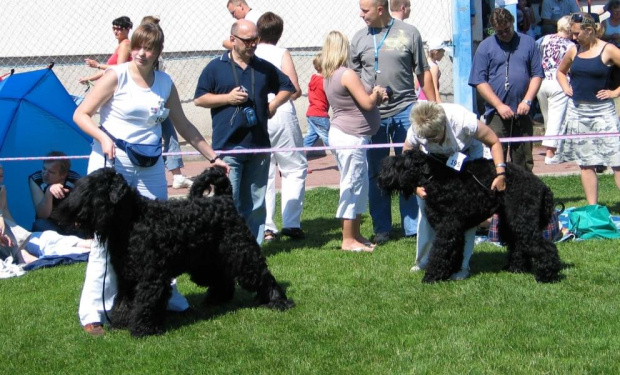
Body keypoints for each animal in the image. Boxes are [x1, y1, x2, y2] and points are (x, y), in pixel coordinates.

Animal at [60, 167, 296, 338]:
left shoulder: (151, 277)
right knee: (222, 278)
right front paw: (120, 322)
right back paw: (217, 299)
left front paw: (143, 329)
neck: (133, 220)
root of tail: (224, 199)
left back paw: (278, 301)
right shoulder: (127, 277)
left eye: (93, 190)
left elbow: (145, 302)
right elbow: (124, 301)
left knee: (262, 275)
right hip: (206, 262)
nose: (68, 210)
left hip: (241, 253)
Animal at [376, 149, 564, 282]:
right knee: (519, 245)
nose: (380, 178)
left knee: (544, 246)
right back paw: (515, 268)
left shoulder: (447, 228)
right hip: (510, 222)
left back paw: (548, 275)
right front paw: (450, 272)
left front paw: (431, 276)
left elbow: (440, 251)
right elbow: (454, 251)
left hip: (522, 221)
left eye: (399, 165)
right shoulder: (455, 229)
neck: (436, 178)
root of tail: (542, 186)